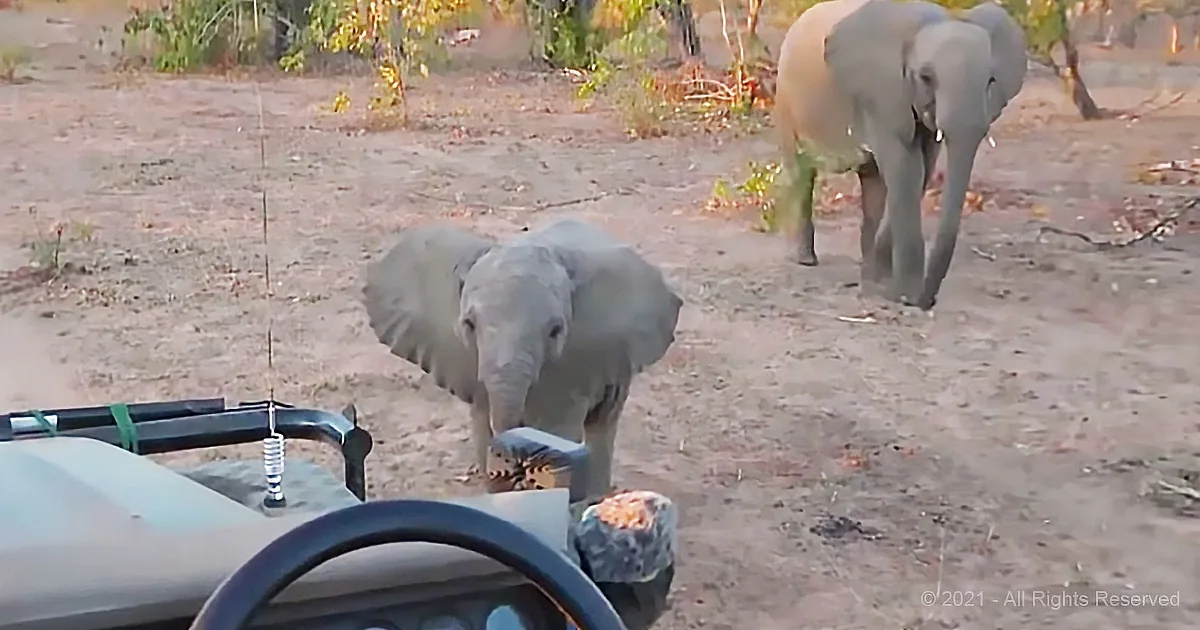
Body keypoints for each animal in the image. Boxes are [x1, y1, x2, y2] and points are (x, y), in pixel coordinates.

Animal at [361, 218, 683, 499]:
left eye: (555, 331)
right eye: (469, 324)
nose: (518, 471)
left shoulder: (572, 364)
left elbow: (557, 432)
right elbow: (483, 429)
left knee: (603, 423)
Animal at [773, 0, 1026, 309]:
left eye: (991, 80)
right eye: (926, 78)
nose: (927, 301)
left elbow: (921, 171)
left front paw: (878, 283)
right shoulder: (883, 97)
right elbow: (907, 168)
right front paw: (900, 293)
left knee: (872, 182)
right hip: (786, 100)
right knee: (800, 172)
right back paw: (804, 260)